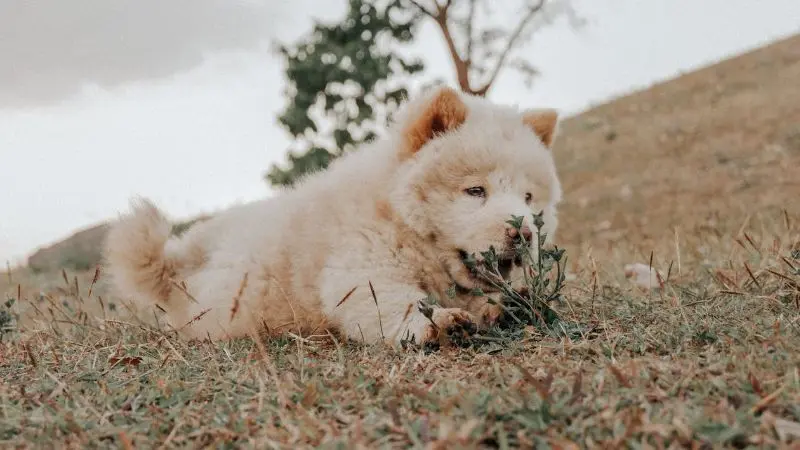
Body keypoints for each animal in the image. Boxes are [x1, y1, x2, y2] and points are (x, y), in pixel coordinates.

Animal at [103, 86, 560, 350]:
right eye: (475, 191)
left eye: (528, 197)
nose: (523, 231)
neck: (395, 214)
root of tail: (176, 269)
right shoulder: (359, 267)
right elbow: (393, 303)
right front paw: (441, 323)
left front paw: (499, 308)